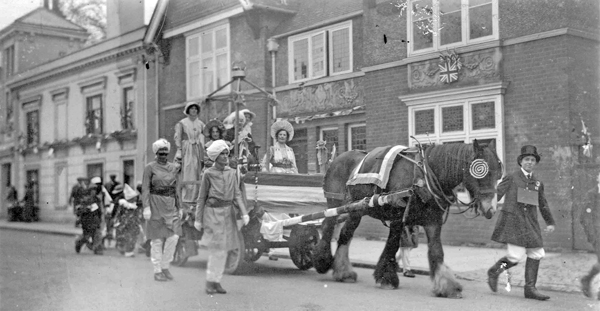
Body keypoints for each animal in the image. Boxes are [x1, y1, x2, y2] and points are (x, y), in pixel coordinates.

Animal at [312, 140, 504, 298]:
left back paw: (343, 272)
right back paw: (323, 261)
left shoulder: (432, 222)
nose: (491, 209)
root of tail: (337, 159)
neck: (423, 177)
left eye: (498, 173)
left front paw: (446, 285)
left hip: (356, 211)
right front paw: (387, 278)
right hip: (337, 204)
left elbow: (437, 250)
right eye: (481, 171)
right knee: (328, 225)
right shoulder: (398, 218)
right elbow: (392, 245)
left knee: (345, 234)